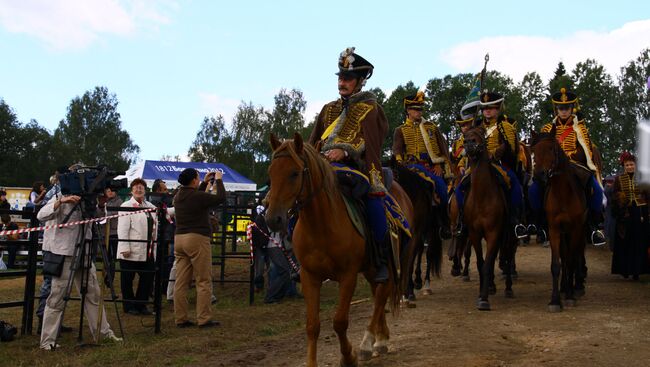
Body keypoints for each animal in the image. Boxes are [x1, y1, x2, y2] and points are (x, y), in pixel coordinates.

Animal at [262, 134, 410, 367]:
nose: (272, 219)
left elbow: (339, 321)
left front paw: (348, 356)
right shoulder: (309, 276)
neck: (321, 226)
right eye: (270, 173)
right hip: (372, 268)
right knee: (378, 293)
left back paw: (368, 343)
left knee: (381, 296)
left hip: (390, 261)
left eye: (294, 173)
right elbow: (312, 325)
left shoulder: (348, 275)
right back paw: (380, 339)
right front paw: (312, 363)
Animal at [464, 126, 512, 310]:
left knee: (507, 258)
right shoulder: (474, 233)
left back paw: (508, 288)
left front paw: (484, 299)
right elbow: (480, 263)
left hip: (507, 236)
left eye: (481, 132)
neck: (482, 197)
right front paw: (481, 293)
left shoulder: (493, 232)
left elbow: (487, 264)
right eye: (465, 135)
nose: (469, 143)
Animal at [528, 131, 584, 312]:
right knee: (564, 258)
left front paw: (570, 297)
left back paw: (574, 288)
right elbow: (556, 264)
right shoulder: (554, 229)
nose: (539, 175)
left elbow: (572, 261)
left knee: (575, 257)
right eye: (533, 150)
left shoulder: (575, 229)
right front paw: (555, 300)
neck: (563, 194)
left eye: (551, 148)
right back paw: (564, 287)